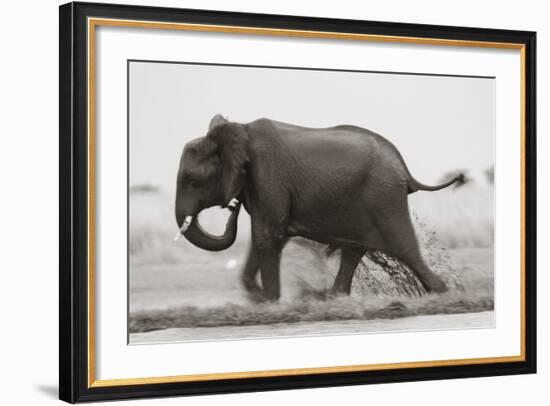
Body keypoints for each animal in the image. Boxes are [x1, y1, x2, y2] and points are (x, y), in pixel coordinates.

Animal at [176, 114, 466, 302]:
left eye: (191, 180)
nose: (232, 206)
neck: (238, 132)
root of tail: (404, 168)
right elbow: (269, 236)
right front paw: (259, 299)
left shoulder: (268, 176)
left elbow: (267, 234)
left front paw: (270, 301)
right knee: (354, 250)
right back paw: (331, 297)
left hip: (384, 196)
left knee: (403, 247)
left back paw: (442, 294)